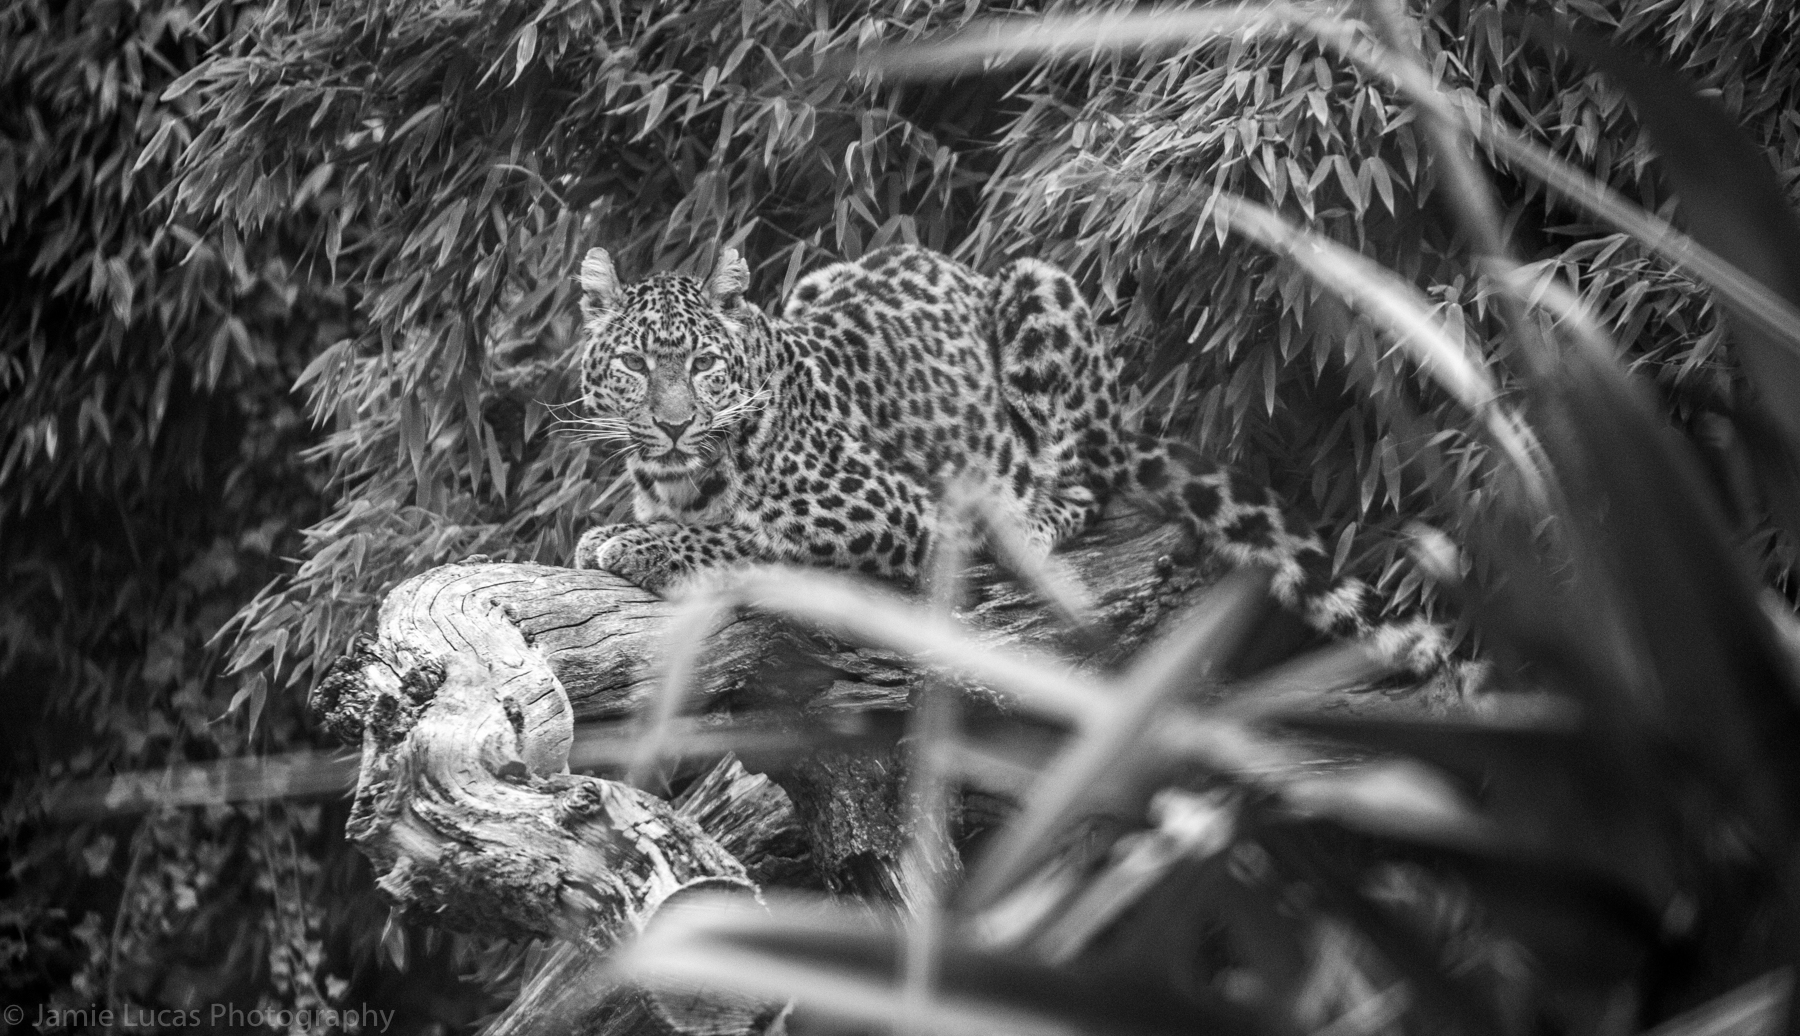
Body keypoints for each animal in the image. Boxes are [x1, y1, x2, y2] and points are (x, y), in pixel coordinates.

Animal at [566, 242, 1450, 674]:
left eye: (704, 365)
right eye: (637, 365)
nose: (674, 425)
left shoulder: (893, 510)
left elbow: (749, 531)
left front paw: (636, 544)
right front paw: (618, 529)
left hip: (1040, 290)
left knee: (1081, 482)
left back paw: (1023, 522)